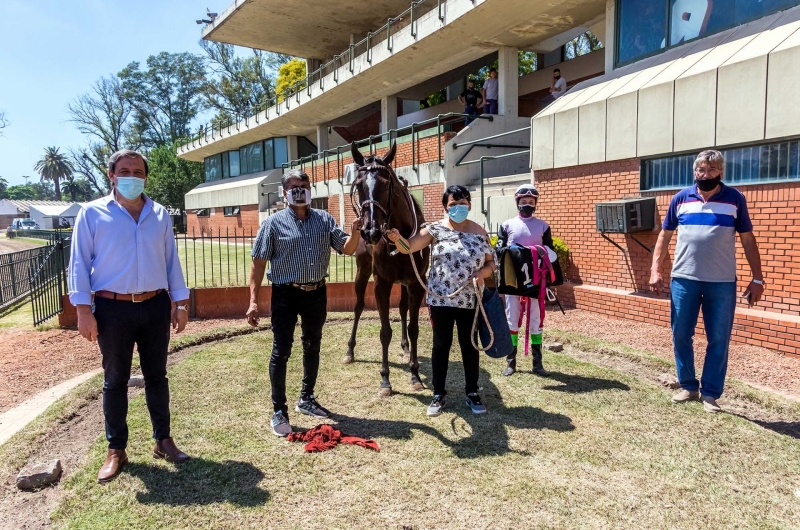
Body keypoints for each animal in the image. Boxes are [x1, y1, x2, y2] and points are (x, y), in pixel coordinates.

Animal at [344, 142, 432, 394]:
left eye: (386, 184)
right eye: (359, 185)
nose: (370, 231)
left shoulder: (416, 284)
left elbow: (413, 328)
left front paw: (415, 375)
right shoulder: (381, 283)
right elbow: (384, 332)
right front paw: (385, 379)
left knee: (402, 309)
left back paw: (405, 349)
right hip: (362, 271)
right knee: (358, 306)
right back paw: (350, 350)